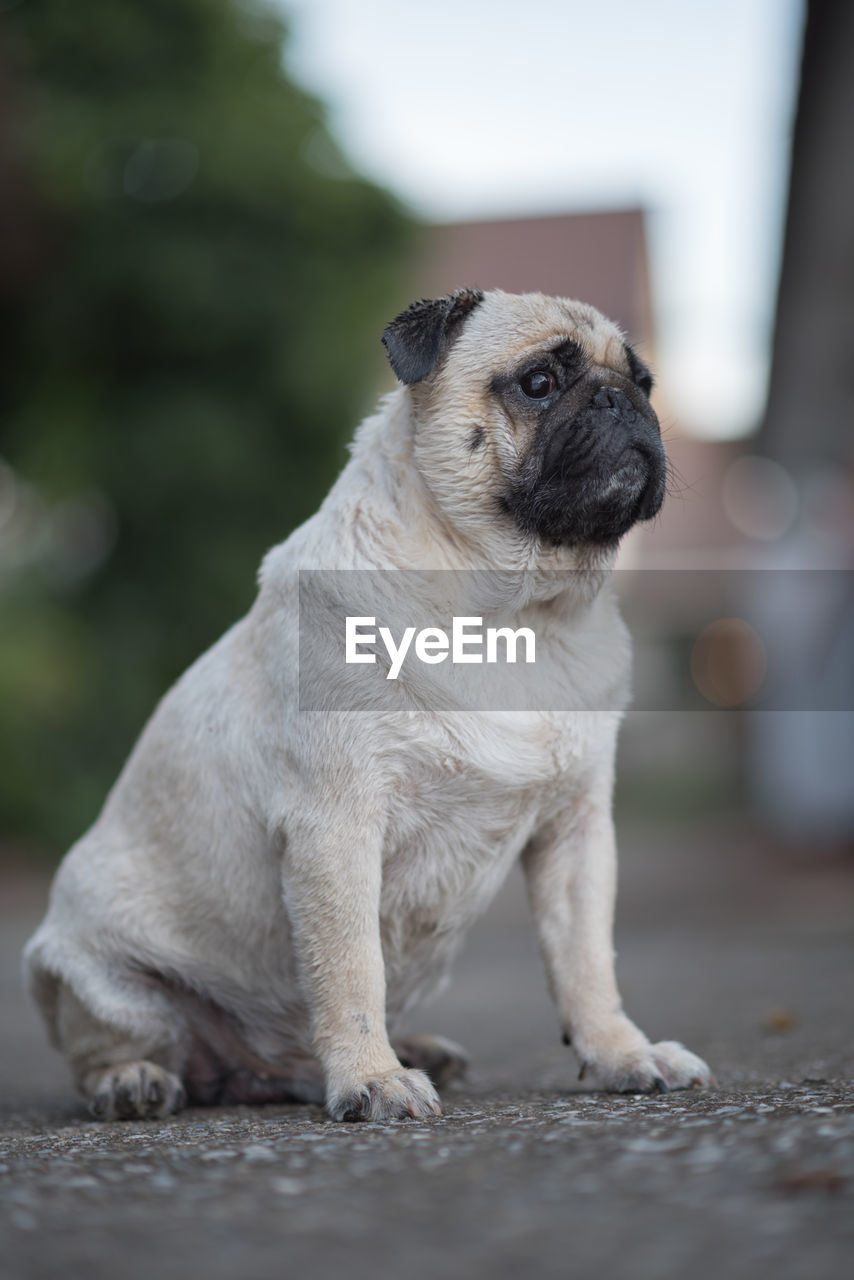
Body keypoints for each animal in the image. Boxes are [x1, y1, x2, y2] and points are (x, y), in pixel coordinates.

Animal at [21, 290, 717, 1121]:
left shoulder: (576, 834)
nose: (622, 402)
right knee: (108, 1050)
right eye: (541, 382)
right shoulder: (336, 827)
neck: (519, 617)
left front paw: (621, 1053)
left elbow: (585, 964)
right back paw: (134, 1082)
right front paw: (371, 1079)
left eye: (644, 383)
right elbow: (352, 970)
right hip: (100, 981)